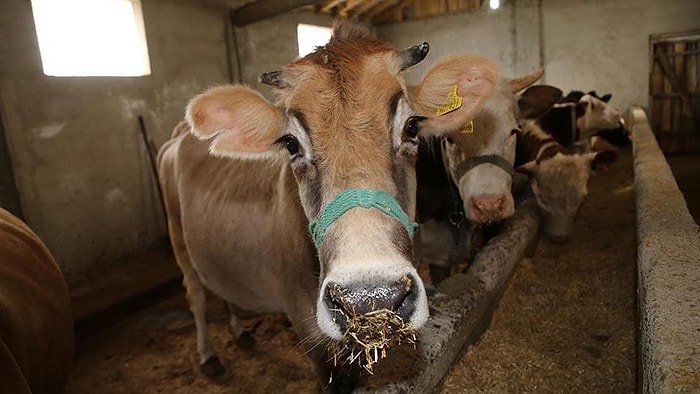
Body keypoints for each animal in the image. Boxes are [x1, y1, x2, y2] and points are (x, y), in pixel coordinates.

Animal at [159, 20, 498, 390]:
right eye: (290, 143)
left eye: (412, 127)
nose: (370, 298)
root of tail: (180, 134)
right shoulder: (308, 331)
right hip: (178, 240)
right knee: (196, 294)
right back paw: (209, 357)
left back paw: (240, 332)